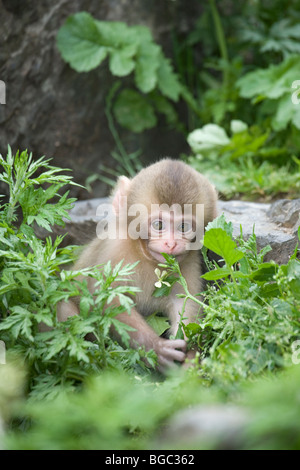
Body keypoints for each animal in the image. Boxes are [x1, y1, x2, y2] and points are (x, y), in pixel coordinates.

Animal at [58, 160, 218, 370]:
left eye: (183, 227)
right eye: (158, 225)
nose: (171, 244)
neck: (147, 257)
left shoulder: (190, 261)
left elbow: (186, 302)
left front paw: (191, 358)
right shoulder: (115, 249)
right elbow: (107, 298)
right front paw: (156, 348)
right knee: (65, 309)